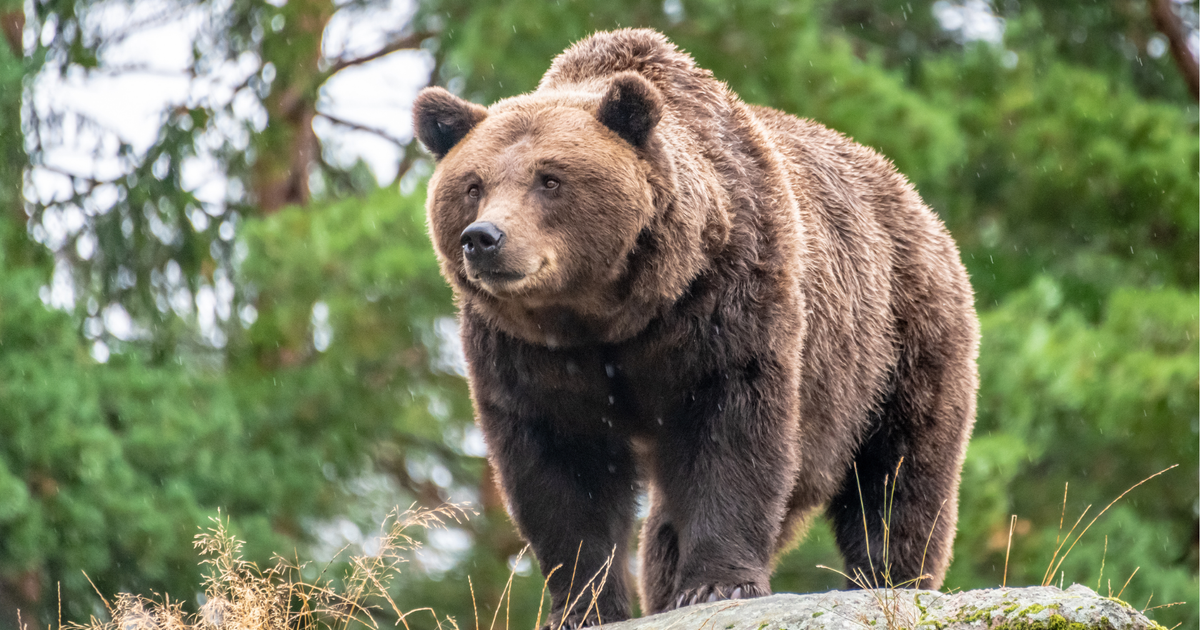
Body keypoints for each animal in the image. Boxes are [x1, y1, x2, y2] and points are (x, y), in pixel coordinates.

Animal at [412, 28, 979, 628]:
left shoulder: (727, 303)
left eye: (550, 179)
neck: (608, 314)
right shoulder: (526, 354)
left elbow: (733, 433)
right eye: (473, 185)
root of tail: (910, 194)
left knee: (899, 472)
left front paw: (716, 584)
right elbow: (561, 467)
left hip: (896, 341)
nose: (484, 238)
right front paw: (583, 606)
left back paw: (890, 579)